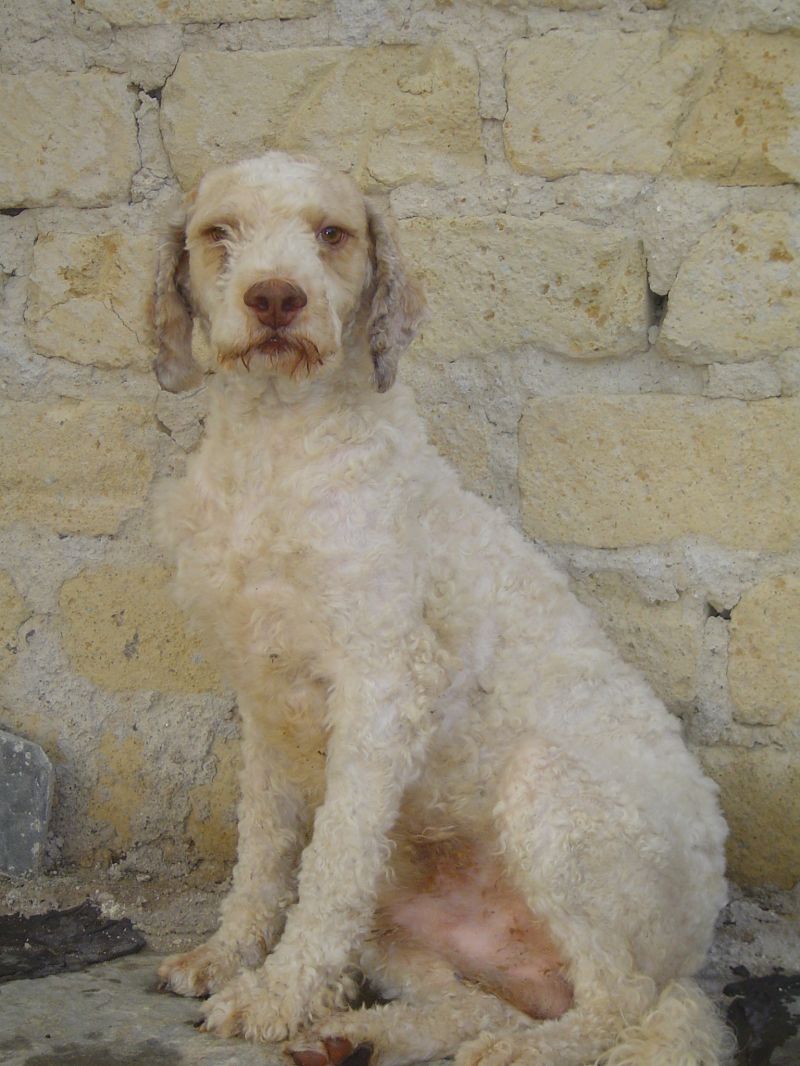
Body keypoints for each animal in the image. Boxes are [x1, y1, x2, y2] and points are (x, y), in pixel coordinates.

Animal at [151, 152, 733, 1066]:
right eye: (220, 233)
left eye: (332, 233)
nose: (276, 298)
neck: (278, 447)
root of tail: (691, 955)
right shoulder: (264, 696)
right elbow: (264, 850)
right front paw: (225, 956)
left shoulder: (384, 680)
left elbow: (329, 866)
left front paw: (277, 995)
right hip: (408, 916)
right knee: (475, 1003)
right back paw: (354, 1034)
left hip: (554, 805)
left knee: (618, 1004)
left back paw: (515, 1051)